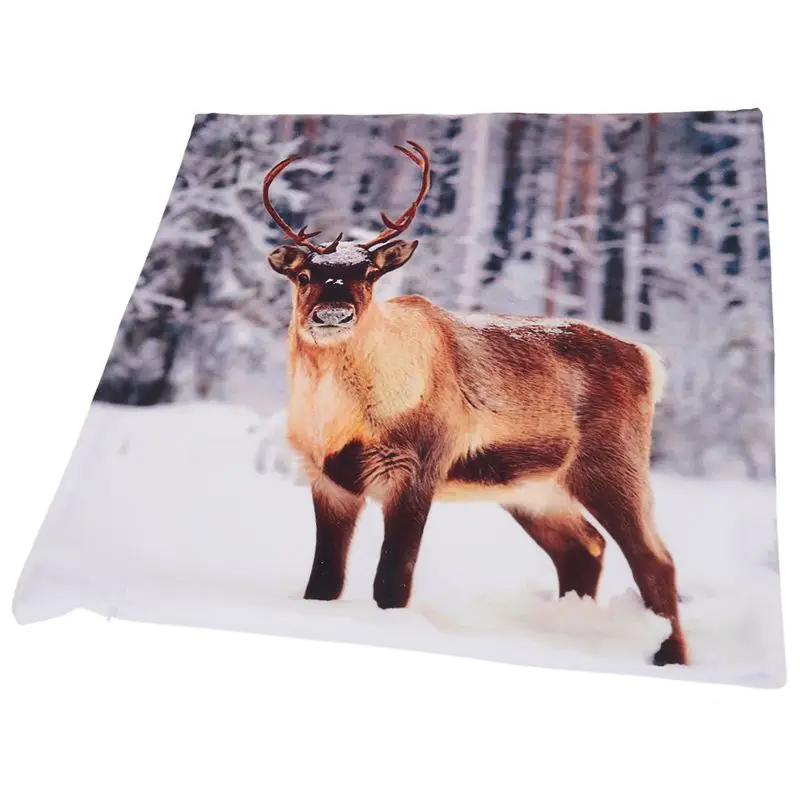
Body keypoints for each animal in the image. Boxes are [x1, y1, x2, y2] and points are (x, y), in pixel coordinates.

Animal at [262, 141, 688, 667]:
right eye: (303, 276)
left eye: (369, 273)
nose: (333, 314)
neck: (343, 419)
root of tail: (648, 360)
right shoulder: (327, 477)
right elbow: (323, 582)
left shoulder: (418, 467)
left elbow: (392, 582)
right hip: (533, 490)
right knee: (583, 548)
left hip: (614, 465)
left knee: (655, 559)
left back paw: (670, 656)